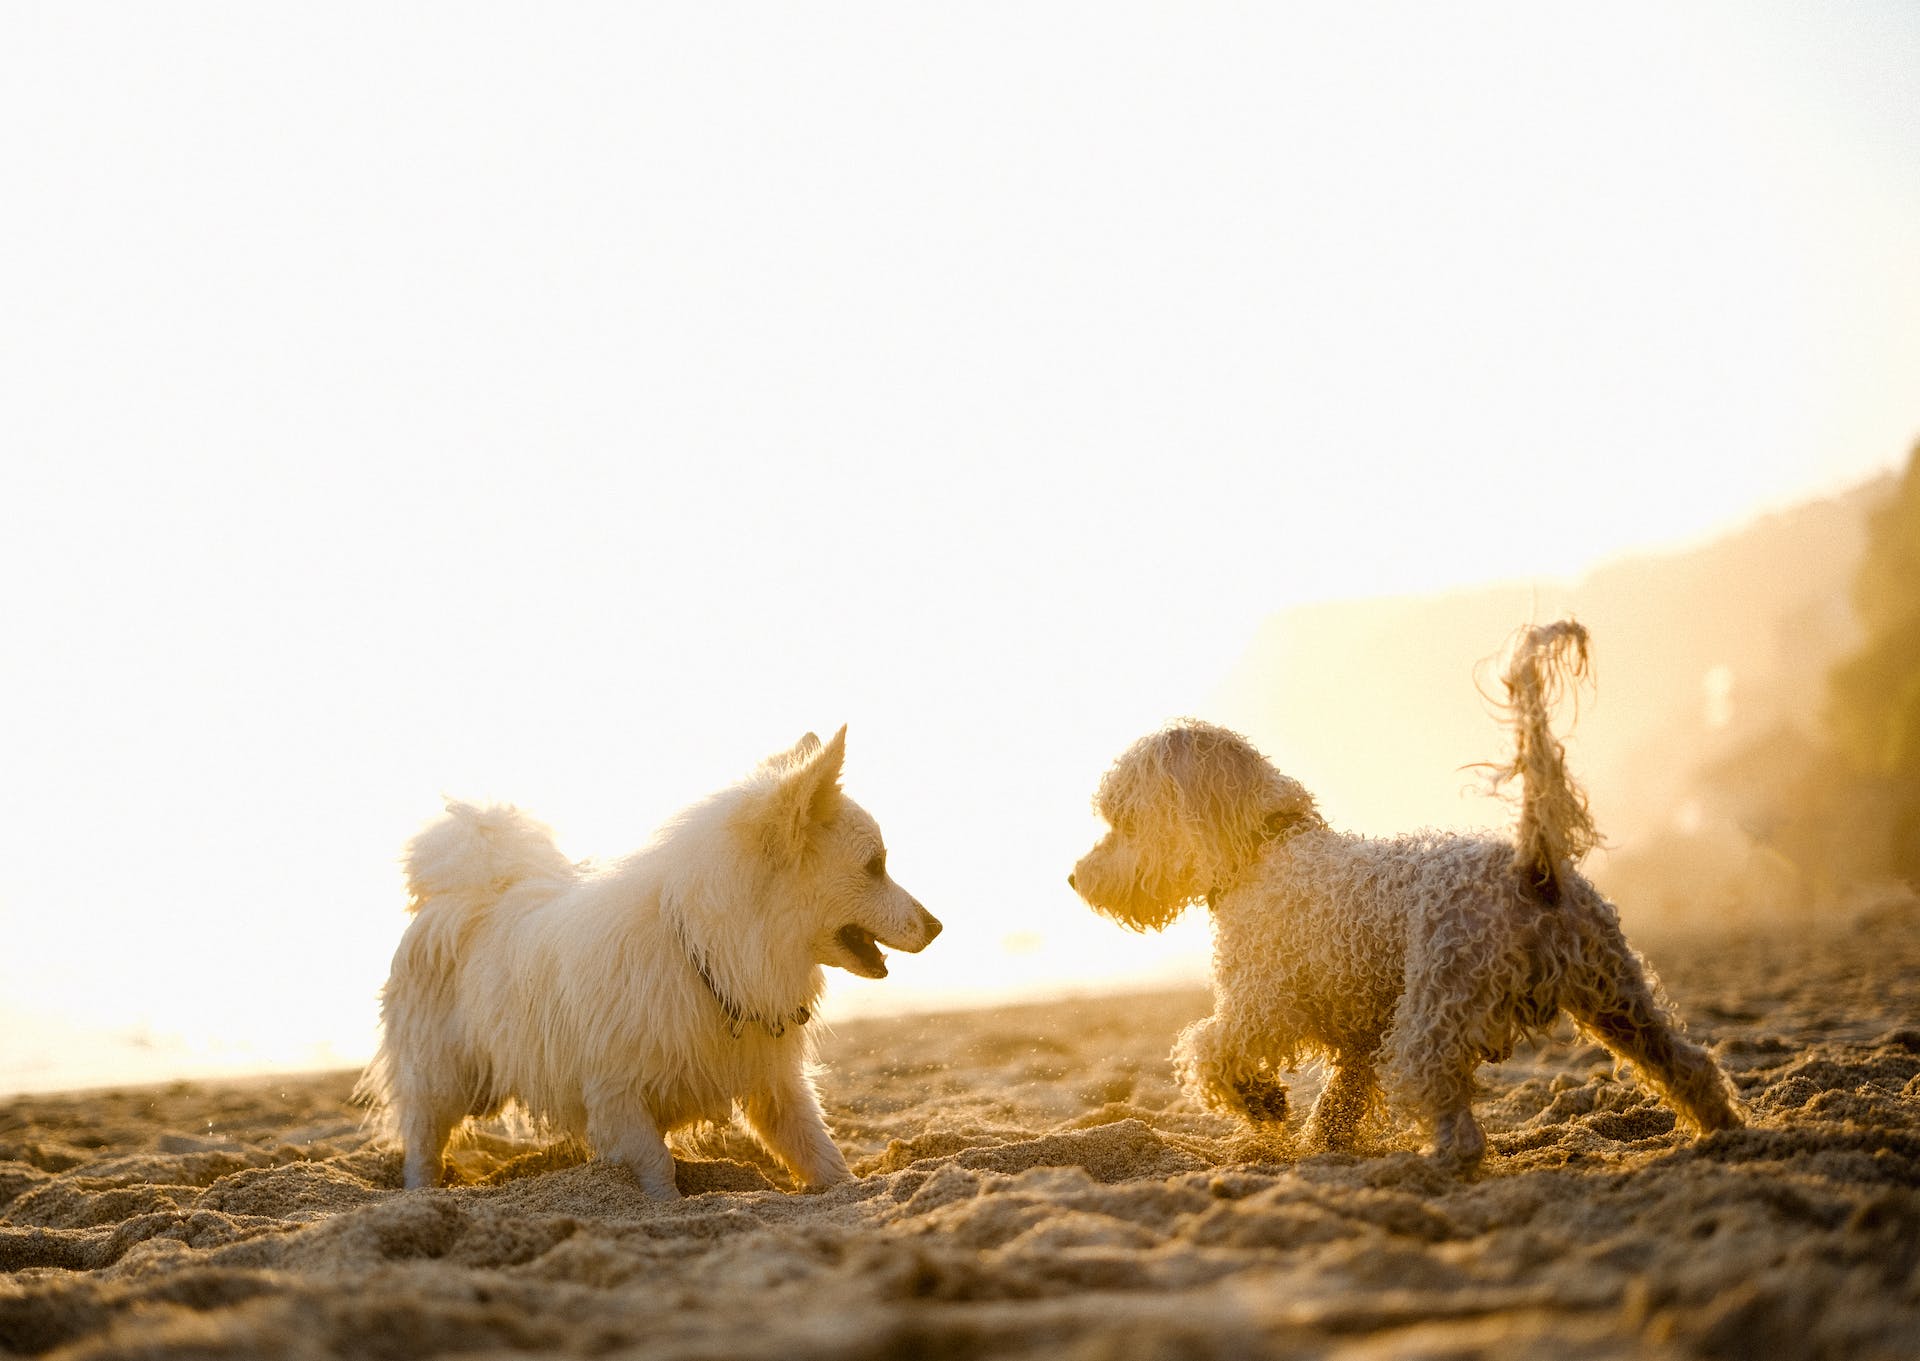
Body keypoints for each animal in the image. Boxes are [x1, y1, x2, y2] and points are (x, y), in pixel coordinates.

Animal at [360, 725, 944, 1197]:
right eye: (876, 865)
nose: (938, 926)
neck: (710, 956)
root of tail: (464, 893)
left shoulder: (775, 1088)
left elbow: (821, 1152)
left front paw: (850, 1190)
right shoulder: (617, 1099)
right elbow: (658, 1167)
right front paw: (666, 1203)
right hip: (439, 1081)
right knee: (423, 1145)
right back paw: (420, 1195)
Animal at [1075, 625, 1751, 1167]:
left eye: (1123, 819)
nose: (1075, 880)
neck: (1267, 849)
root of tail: (1530, 867)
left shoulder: (1260, 1002)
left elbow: (1209, 1050)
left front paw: (1263, 1103)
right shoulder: (1356, 1034)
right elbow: (1338, 1098)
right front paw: (1321, 1142)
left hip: (1437, 1010)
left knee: (1448, 1107)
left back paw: (1439, 1164)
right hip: (1617, 995)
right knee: (1688, 1064)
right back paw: (1725, 1132)